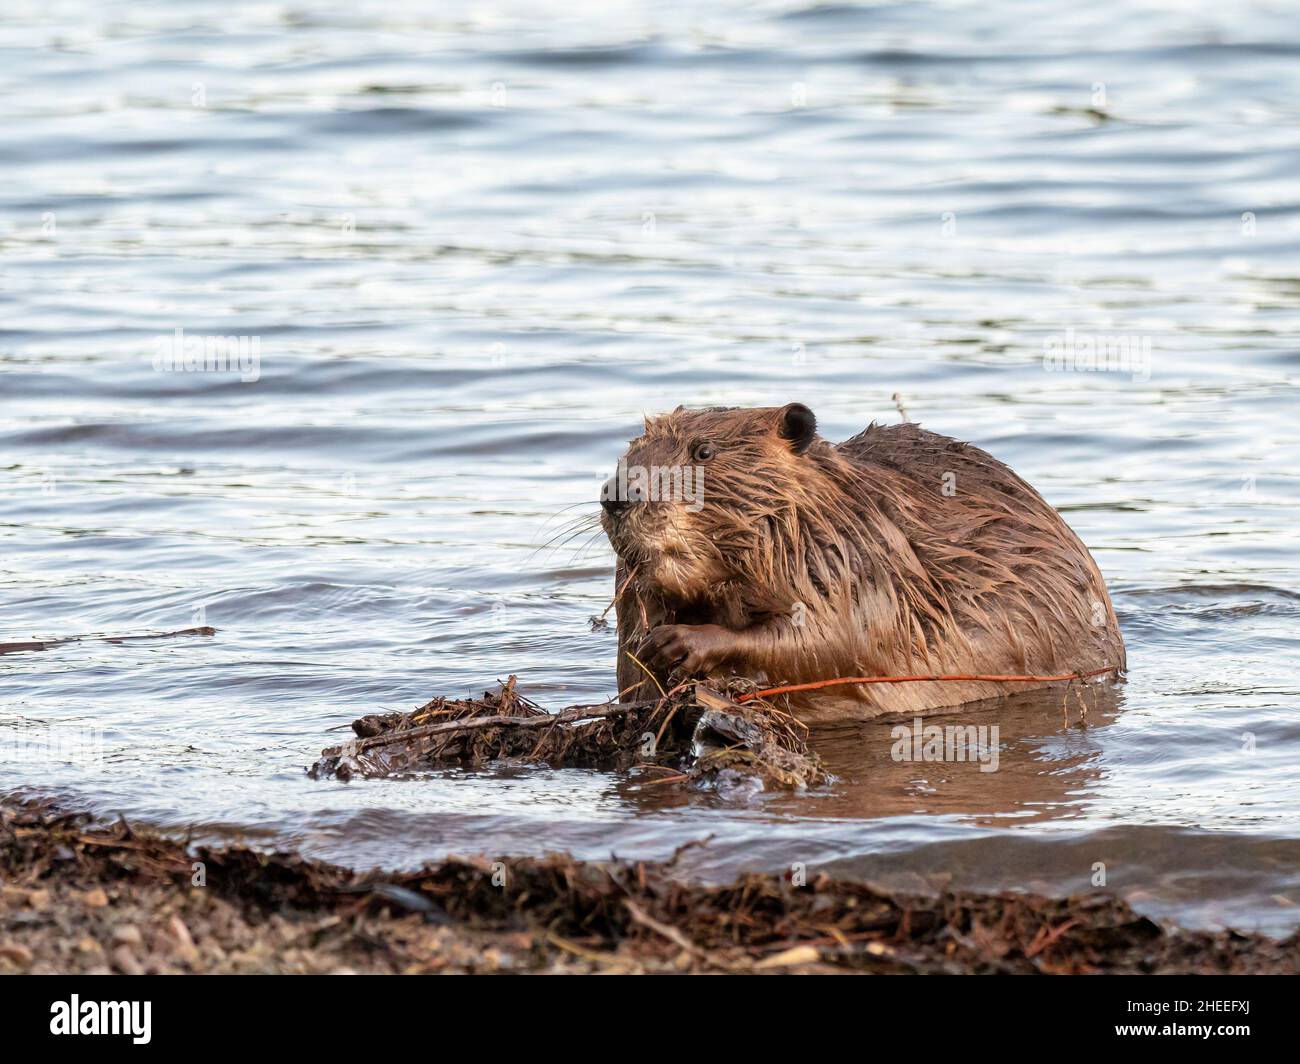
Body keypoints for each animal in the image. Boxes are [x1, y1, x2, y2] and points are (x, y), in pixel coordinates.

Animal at [598, 403, 1118, 718]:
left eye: (704, 450)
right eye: (631, 451)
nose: (619, 494)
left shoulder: (852, 562)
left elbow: (832, 640)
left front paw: (681, 641)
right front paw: (652, 644)